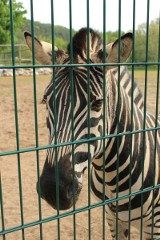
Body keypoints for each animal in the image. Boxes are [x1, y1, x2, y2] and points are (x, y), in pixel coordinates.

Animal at [24, 28, 160, 240]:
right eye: (45, 101)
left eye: (97, 103)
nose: (53, 189)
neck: (112, 176)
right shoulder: (113, 218)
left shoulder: (155, 224)